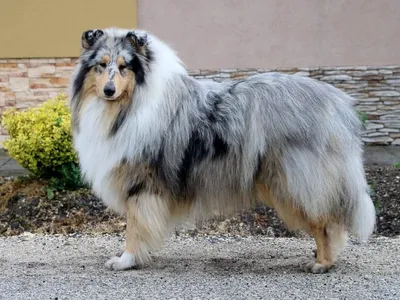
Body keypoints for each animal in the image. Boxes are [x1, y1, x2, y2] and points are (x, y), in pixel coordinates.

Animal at [69, 27, 376, 274]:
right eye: (101, 65)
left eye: (124, 67)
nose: (108, 90)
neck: (128, 106)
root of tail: (337, 103)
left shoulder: (142, 185)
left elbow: (134, 228)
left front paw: (125, 260)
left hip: (296, 182)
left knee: (325, 221)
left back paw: (322, 263)